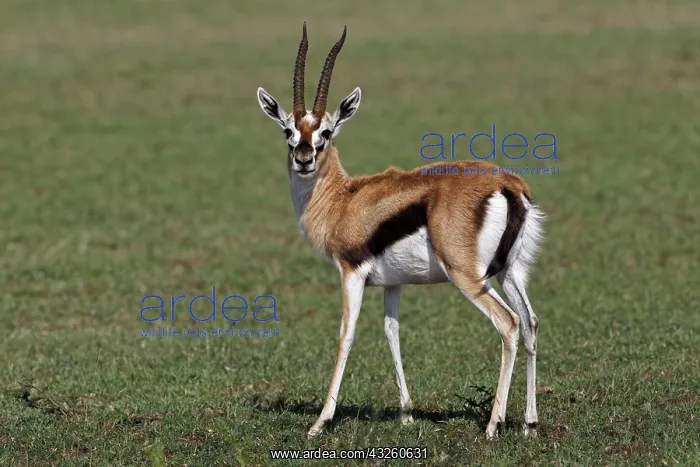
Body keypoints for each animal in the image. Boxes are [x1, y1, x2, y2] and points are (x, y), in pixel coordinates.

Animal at [256, 23, 546, 439]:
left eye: (326, 131)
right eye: (288, 131)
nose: (304, 158)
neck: (343, 200)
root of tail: (508, 184)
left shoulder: (351, 272)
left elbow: (346, 335)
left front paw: (320, 422)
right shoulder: (392, 283)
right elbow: (391, 332)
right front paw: (407, 414)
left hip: (469, 278)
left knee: (509, 324)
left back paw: (493, 425)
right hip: (509, 272)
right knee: (531, 323)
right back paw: (530, 424)